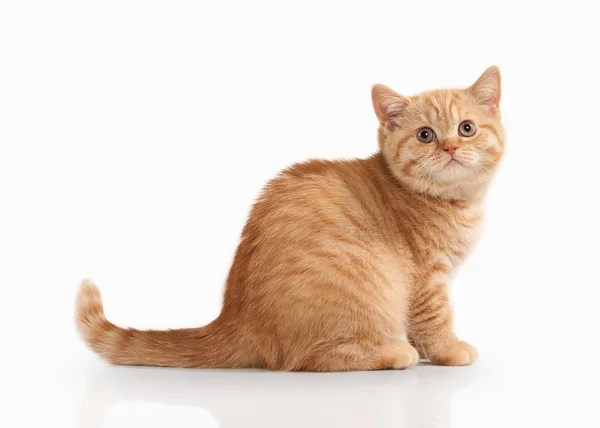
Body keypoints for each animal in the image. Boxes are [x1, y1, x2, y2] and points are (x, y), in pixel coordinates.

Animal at [77, 67, 504, 372]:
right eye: (425, 135)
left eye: (466, 129)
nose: (450, 147)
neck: (453, 201)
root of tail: (234, 317)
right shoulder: (426, 277)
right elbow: (435, 318)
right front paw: (447, 350)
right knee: (309, 359)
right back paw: (391, 352)